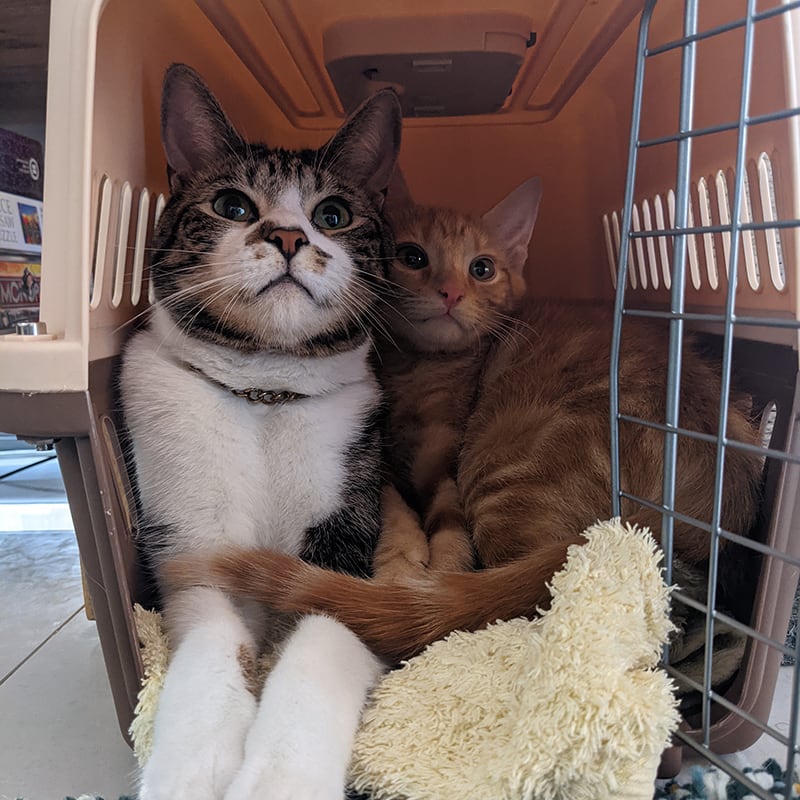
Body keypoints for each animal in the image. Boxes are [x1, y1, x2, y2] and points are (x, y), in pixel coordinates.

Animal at [120, 64, 400, 800]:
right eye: (233, 205)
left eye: (333, 215)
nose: (289, 237)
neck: (266, 395)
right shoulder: (194, 549)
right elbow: (213, 648)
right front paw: (189, 768)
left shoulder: (347, 551)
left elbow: (316, 653)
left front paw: (281, 778)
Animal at [164, 167, 764, 664]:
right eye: (412, 257)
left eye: (482, 268)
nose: (452, 292)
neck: (417, 370)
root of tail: (636, 524)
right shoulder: (381, 459)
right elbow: (396, 508)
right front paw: (402, 557)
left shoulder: (445, 466)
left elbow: (448, 542)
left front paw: (416, 578)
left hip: (502, 468)